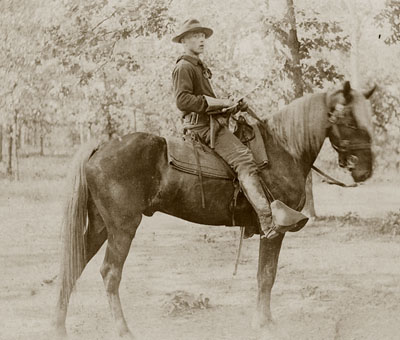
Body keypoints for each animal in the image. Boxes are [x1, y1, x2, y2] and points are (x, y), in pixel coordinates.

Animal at [53, 81, 376, 338]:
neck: (283, 149)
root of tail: (101, 147)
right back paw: (123, 331)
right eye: (351, 121)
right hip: (122, 227)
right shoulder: (274, 233)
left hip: (100, 226)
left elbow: (265, 275)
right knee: (110, 273)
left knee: (74, 266)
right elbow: (267, 275)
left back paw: (59, 327)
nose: (366, 170)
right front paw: (264, 323)